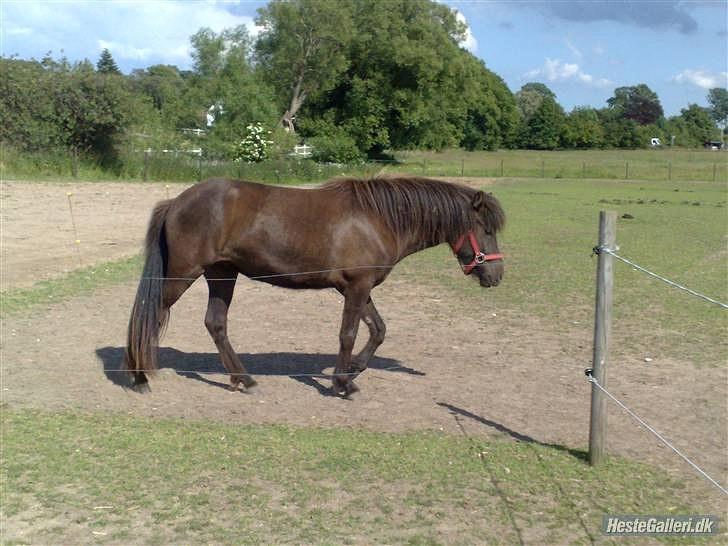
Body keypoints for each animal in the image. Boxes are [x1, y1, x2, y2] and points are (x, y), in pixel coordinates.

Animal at [122, 174, 504, 396]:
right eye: (486, 229)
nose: (496, 276)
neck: (378, 218)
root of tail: (176, 201)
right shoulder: (357, 286)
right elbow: (349, 334)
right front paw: (341, 383)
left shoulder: (359, 288)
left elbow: (378, 330)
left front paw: (352, 372)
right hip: (183, 274)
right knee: (149, 314)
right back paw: (139, 376)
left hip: (222, 274)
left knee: (215, 324)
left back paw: (243, 379)